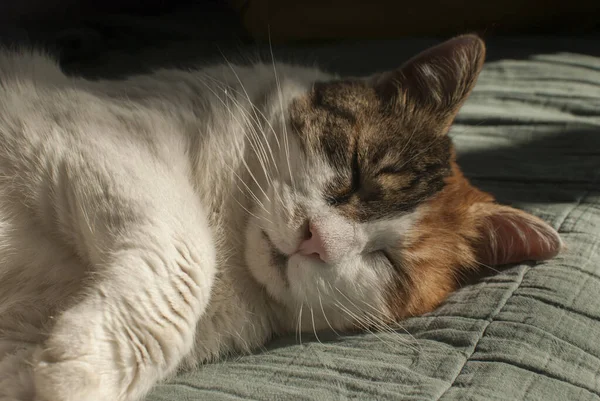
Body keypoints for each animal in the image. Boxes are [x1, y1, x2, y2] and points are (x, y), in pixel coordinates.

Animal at [0, 35, 564, 400]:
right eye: (356, 173)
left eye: (388, 261)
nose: (317, 240)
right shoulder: (88, 136)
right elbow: (189, 254)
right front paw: (85, 371)